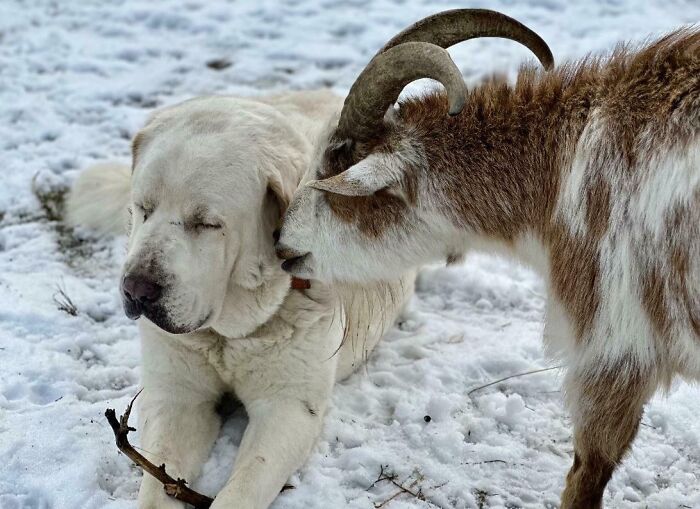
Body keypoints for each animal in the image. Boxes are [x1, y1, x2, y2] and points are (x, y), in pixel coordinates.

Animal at [64, 91, 416, 508]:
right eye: (143, 208)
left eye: (206, 223)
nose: (137, 290)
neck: (226, 336)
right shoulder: (177, 397)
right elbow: (156, 485)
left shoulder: (287, 409)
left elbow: (241, 490)